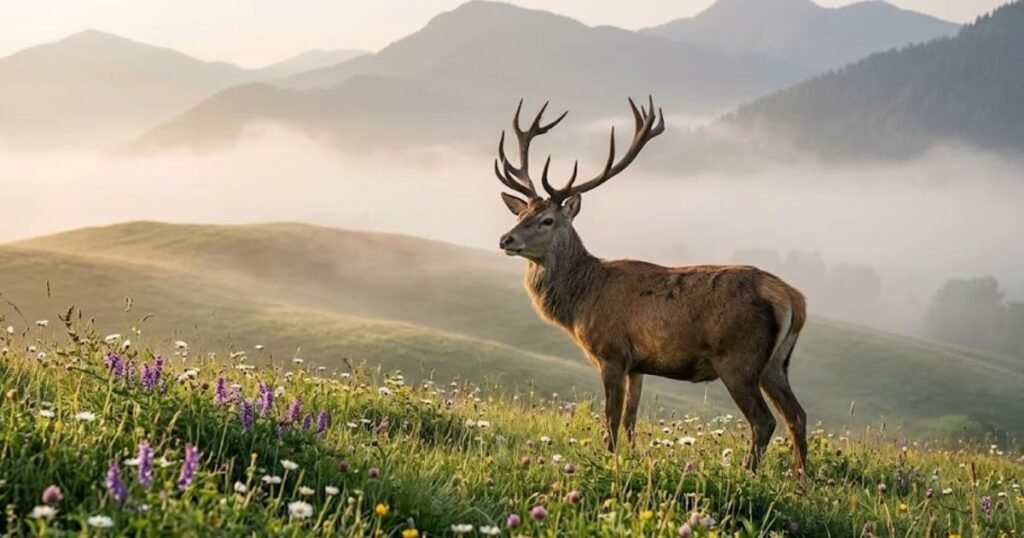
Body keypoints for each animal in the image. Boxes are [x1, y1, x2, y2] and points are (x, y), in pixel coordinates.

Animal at [493, 97, 808, 474]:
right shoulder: (638, 365)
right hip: (776, 363)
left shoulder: (611, 353)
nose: (506, 239)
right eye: (519, 214)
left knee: (764, 420)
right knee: (797, 416)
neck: (582, 299)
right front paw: (631, 458)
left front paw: (609, 461)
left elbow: (611, 418)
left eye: (547, 220)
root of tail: (793, 299)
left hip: (738, 358)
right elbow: (631, 418)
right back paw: (802, 480)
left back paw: (749, 473)